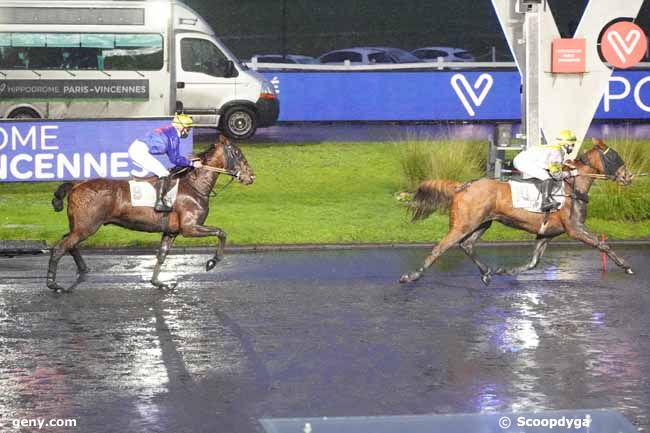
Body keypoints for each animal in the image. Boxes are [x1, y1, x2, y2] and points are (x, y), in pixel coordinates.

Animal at [45, 135, 253, 290]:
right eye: (238, 154)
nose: (251, 176)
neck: (194, 186)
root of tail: (77, 184)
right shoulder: (190, 228)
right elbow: (221, 232)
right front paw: (212, 262)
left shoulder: (171, 231)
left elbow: (162, 254)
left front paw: (158, 282)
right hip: (87, 227)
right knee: (60, 248)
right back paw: (53, 283)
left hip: (80, 227)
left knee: (68, 242)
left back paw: (82, 269)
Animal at [400, 138, 632, 286]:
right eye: (614, 157)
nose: (628, 176)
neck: (572, 187)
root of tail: (462, 186)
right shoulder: (575, 228)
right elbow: (602, 244)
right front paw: (626, 266)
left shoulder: (546, 233)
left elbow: (533, 262)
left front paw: (506, 270)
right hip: (463, 224)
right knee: (440, 247)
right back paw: (411, 276)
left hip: (482, 223)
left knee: (467, 245)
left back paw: (486, 273)